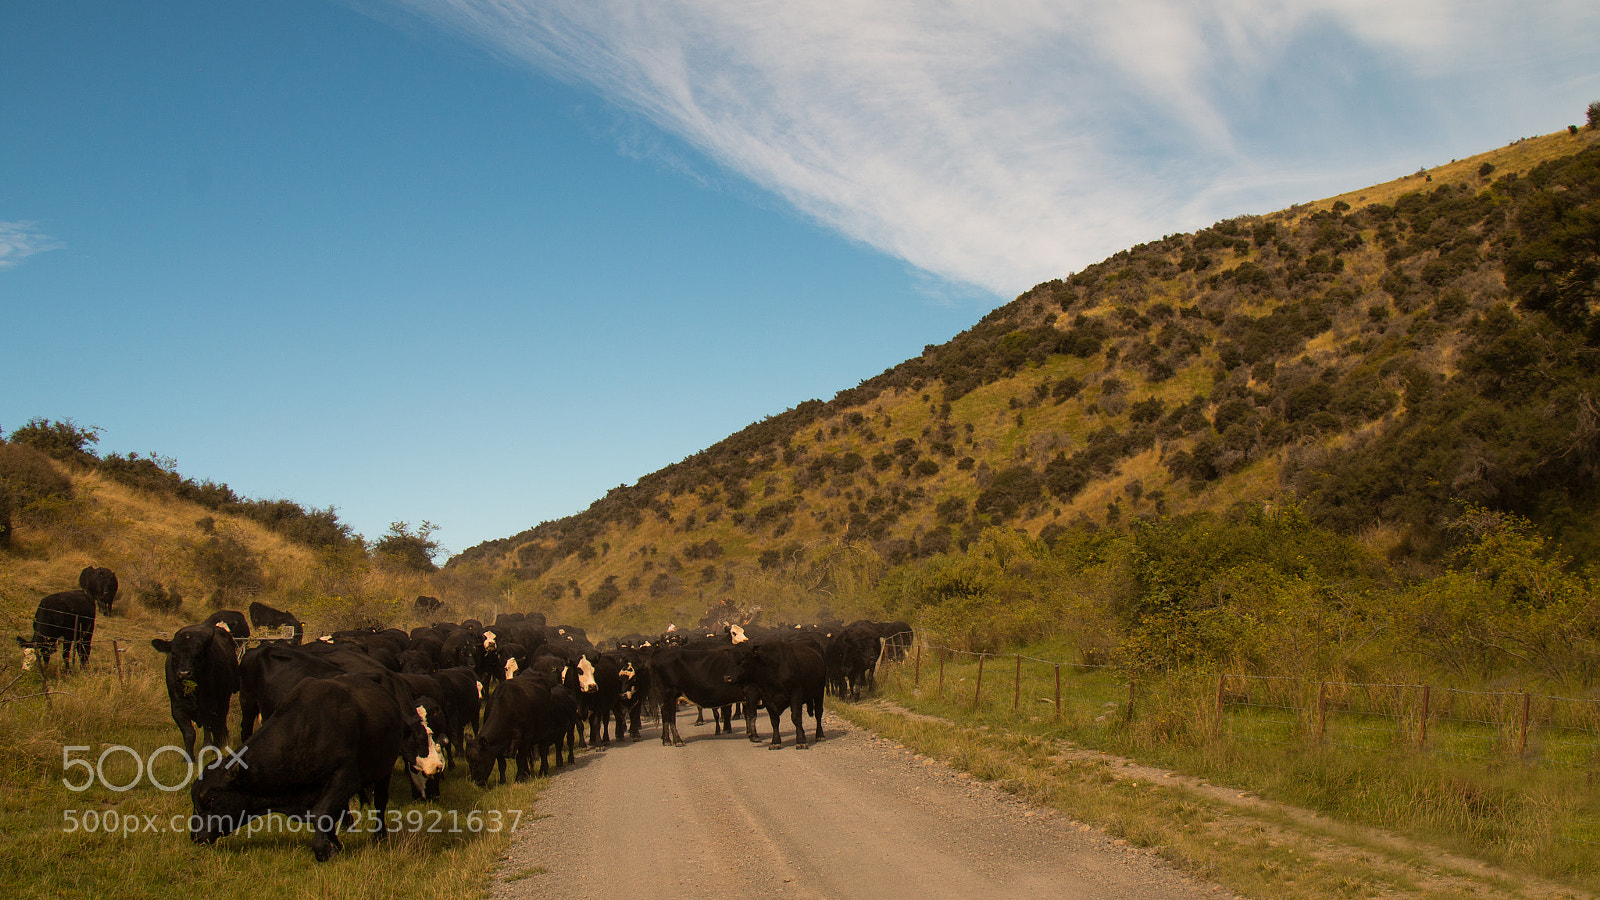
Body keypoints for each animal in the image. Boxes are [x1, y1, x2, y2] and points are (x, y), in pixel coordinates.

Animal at [152, 624, 241, 759]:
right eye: (174, 653)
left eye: (198, 653)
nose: (184, 673)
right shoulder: (177, 708)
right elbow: (189, 733)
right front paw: (188, 758)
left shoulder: (212, 706)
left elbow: (212, 728)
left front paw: (213, 749)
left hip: (224, 701)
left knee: (219, 725)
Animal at [189, 673, 441, 861]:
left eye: (211, 799)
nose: (195, 836)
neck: (308, 727)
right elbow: (329, 815)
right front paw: (334, 844)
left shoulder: (345, 779)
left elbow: (322, 813)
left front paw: (324, 850)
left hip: (382, 771)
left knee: (380, 803)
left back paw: (380, 836)